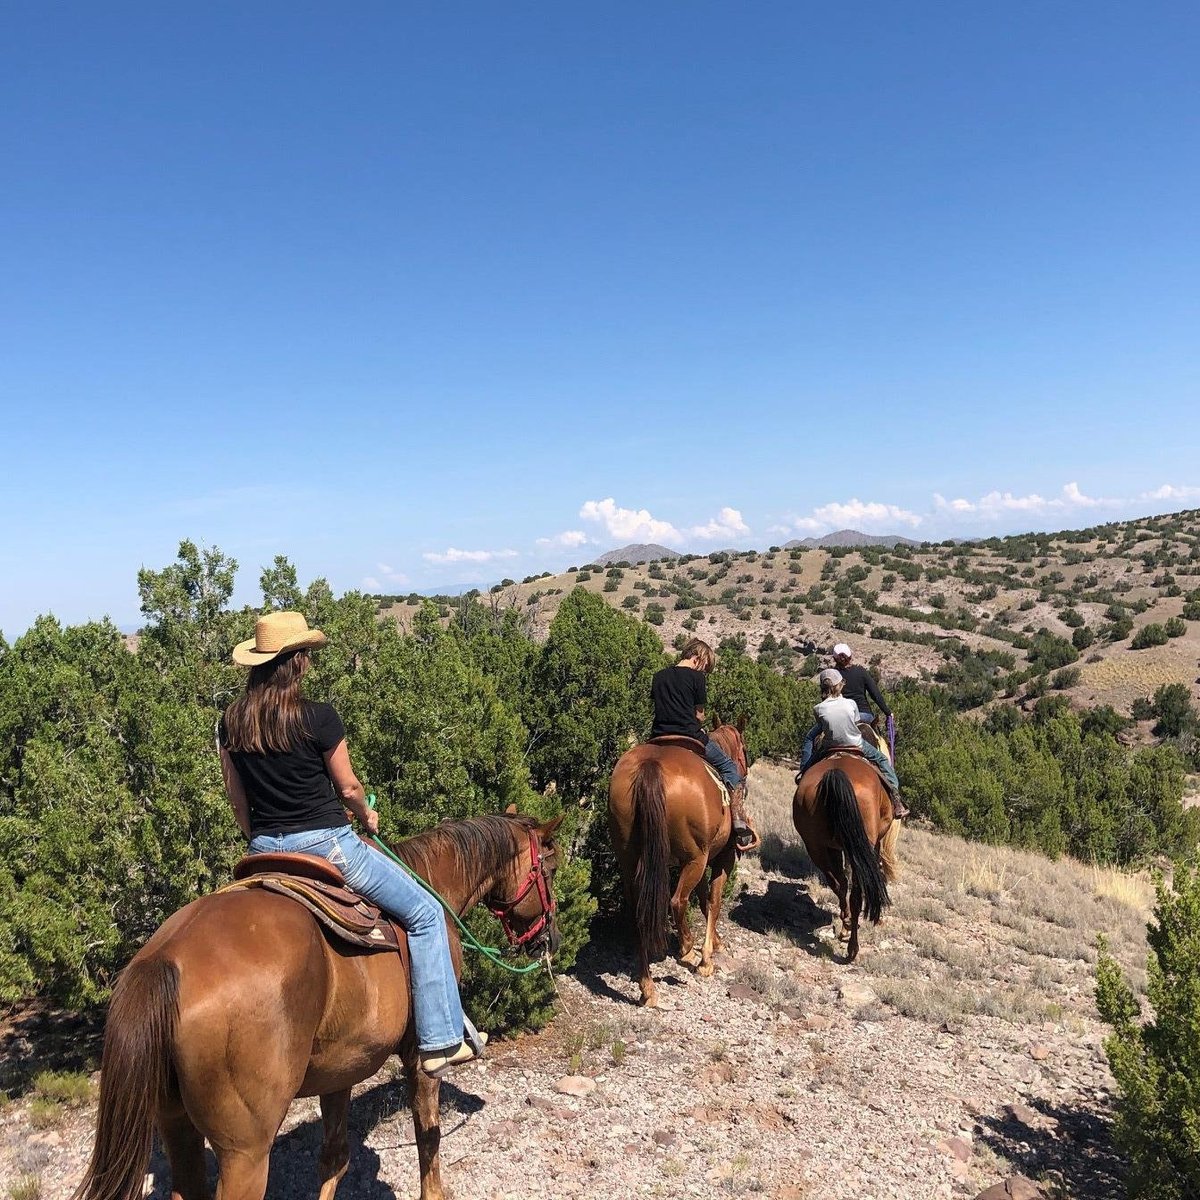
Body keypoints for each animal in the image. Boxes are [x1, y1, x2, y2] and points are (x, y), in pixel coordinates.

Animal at [70, 811, 561, 1200]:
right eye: (552, 868)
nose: (550, 937)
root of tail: (165, 958)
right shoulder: (419, 1058)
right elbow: (428, 1136)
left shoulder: (341, 1066)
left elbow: (334, 1157)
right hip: (245, 1153)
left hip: (176, 1126)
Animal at [609, 715, 748, 1008]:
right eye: (745, 750)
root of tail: (650, 766)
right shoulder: (722, 857)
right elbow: (714, 900)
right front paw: (707, 957)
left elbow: (705, 899)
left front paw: (714, 943)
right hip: (694, 858)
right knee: (677, 901)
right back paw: (687, 952)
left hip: (630, 859)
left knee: (637, 912)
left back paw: (648, 988)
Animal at [792, 753, 897, 960]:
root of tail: (836, 773)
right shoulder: (874, 845)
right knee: (856, 892)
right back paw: (852, 947)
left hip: (816, 847)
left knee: (839, 884)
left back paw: (847, 927)